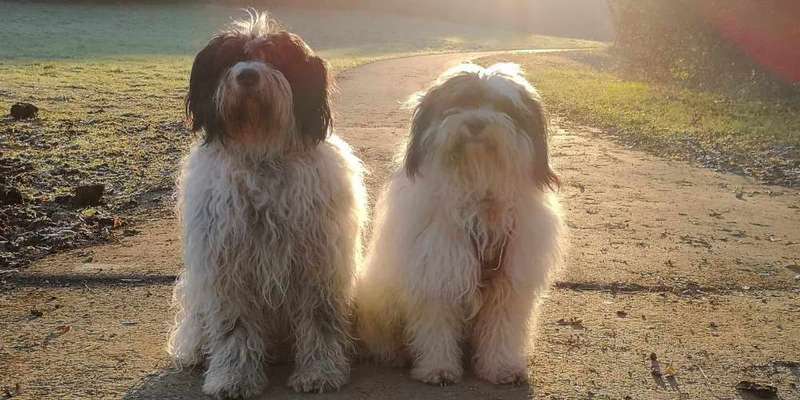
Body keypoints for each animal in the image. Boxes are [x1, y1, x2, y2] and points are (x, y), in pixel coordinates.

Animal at [170, 10, 370, 398]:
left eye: (274, 58)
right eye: (230, 58)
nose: (247, 75)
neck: (262, 153)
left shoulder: (319, 262)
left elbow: (319, 320)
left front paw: (320, 371)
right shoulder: (228, 266)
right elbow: (234, 328)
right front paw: (232, 376)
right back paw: (199, 353)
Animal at [356, 64, 568, 386]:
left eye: (502, 106)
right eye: (459, 101)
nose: (476, 124)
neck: (480, 196)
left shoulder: (508, 283)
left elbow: (502, 327)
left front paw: (500, 367)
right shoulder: (438, 274)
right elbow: (436, 328)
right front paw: (438, 368)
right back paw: (393, 354)